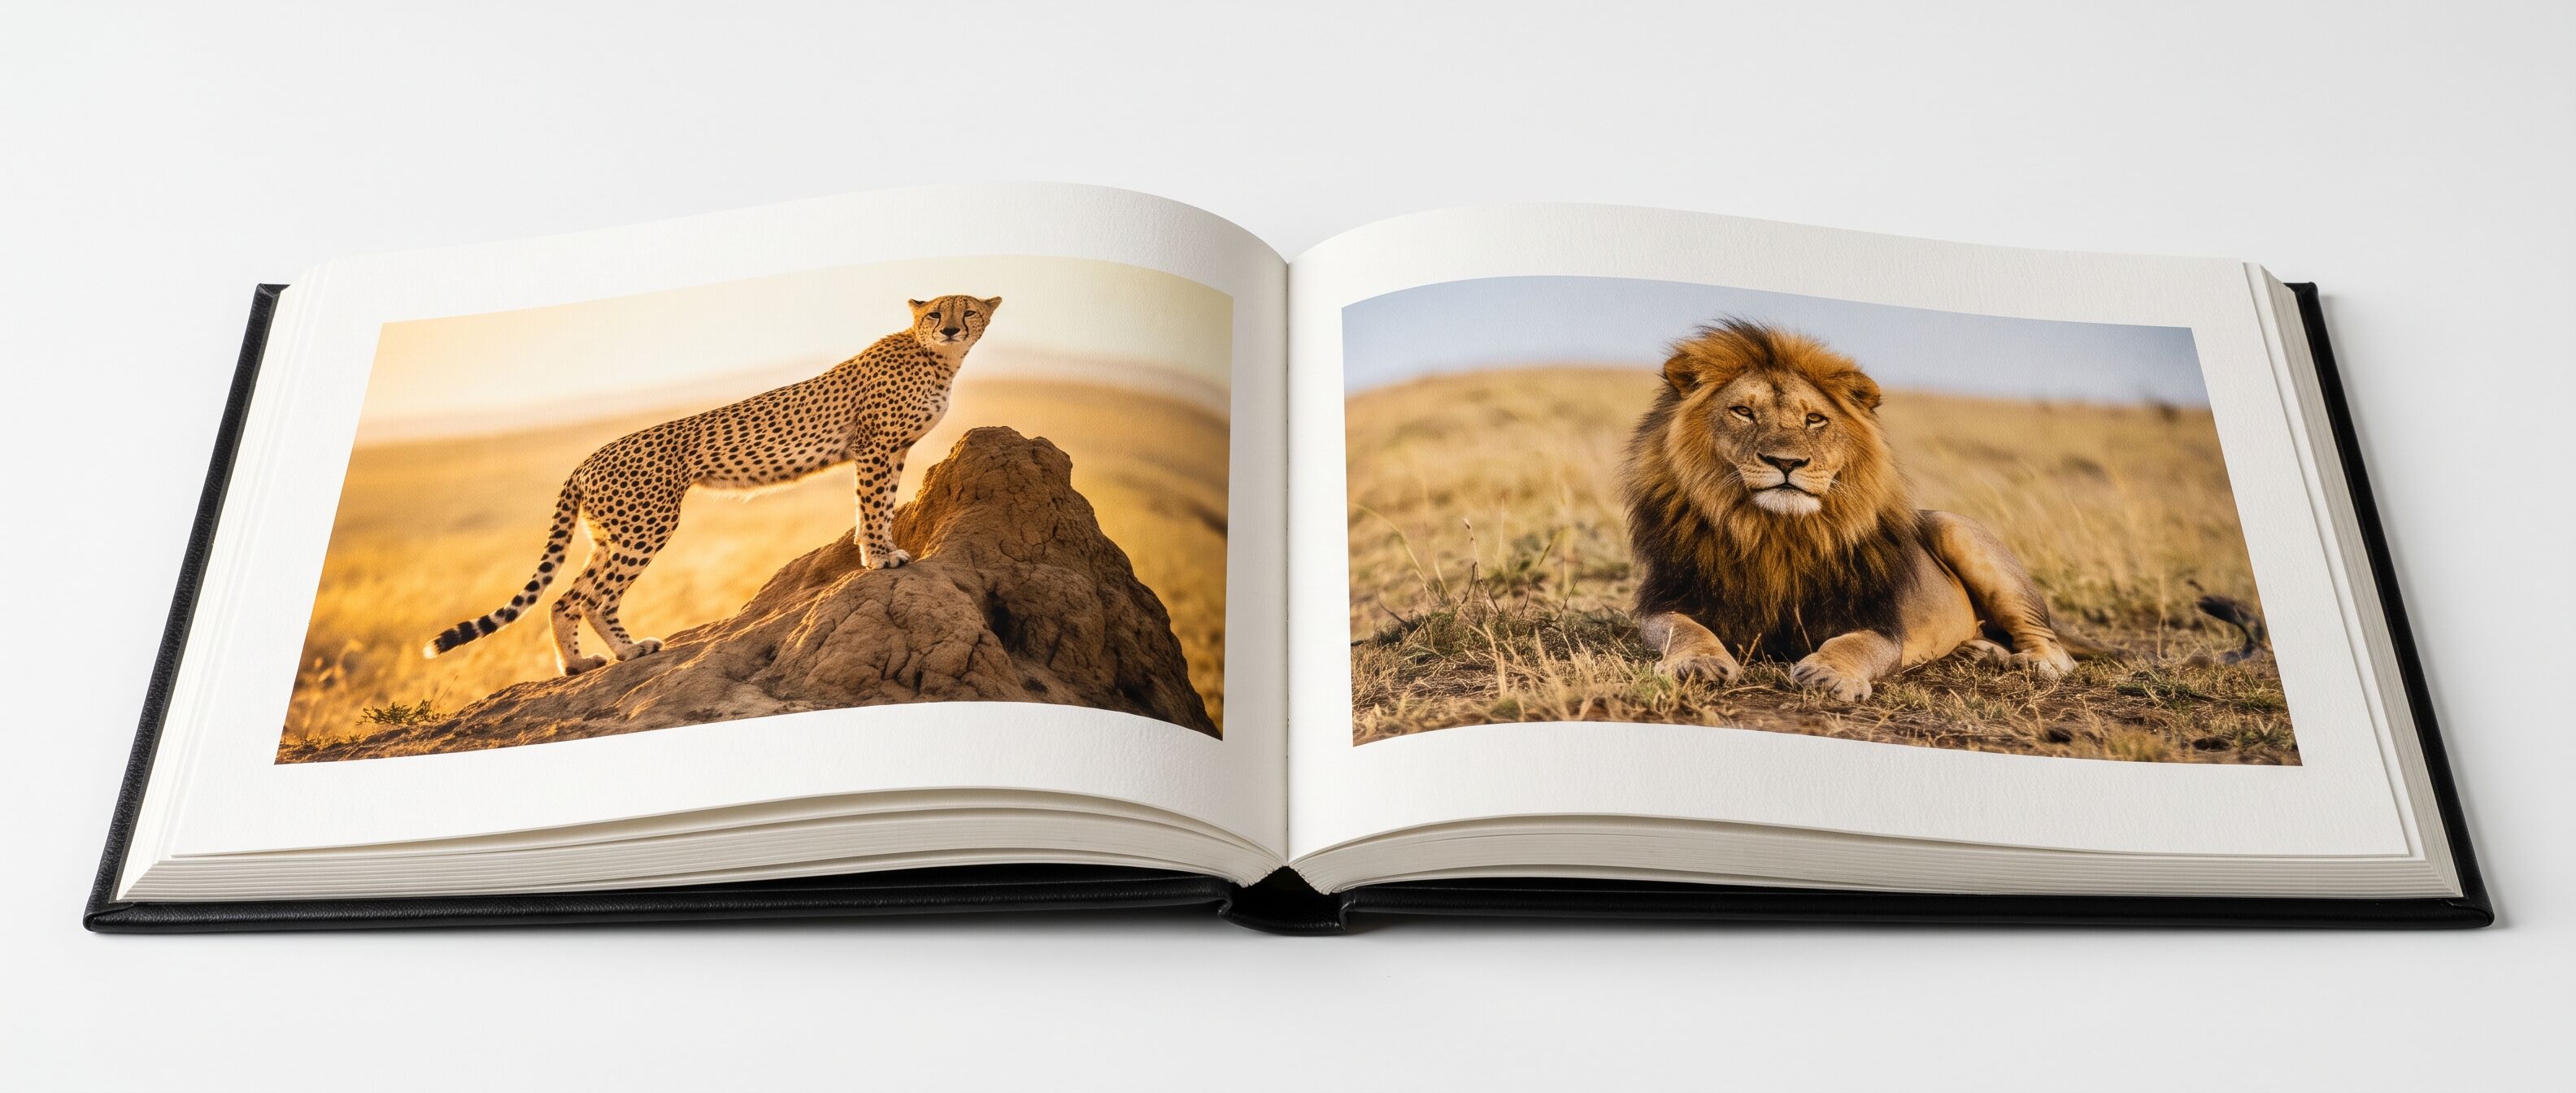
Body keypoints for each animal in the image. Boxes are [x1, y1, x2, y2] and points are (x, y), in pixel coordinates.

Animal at [423, 294, 1001, 675]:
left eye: (967, 312)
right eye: (935, 314)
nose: (951, 329)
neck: (938, 358)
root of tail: (586, 460)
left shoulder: (890, 450)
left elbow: (875, 507)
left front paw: (875, 549)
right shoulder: (876, 448)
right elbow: (874, 504)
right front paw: (881, 557)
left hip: (612, 533)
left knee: (566, 599)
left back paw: (583, 663)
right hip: (646, 526)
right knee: (593, 599)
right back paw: (623, 653)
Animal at [1620, 320, 2075, 702]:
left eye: (1814, 419)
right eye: (1743, 412)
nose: (1786, 462)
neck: (1776, 533)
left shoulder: (1877, 622)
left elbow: (1853, 644)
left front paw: (1829, 674)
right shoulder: (1669, 598)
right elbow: (1684, 629)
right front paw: (1697, 664)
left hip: (1955, 530)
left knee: (2052, 645)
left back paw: (2033, 663)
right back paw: (1980, 652)